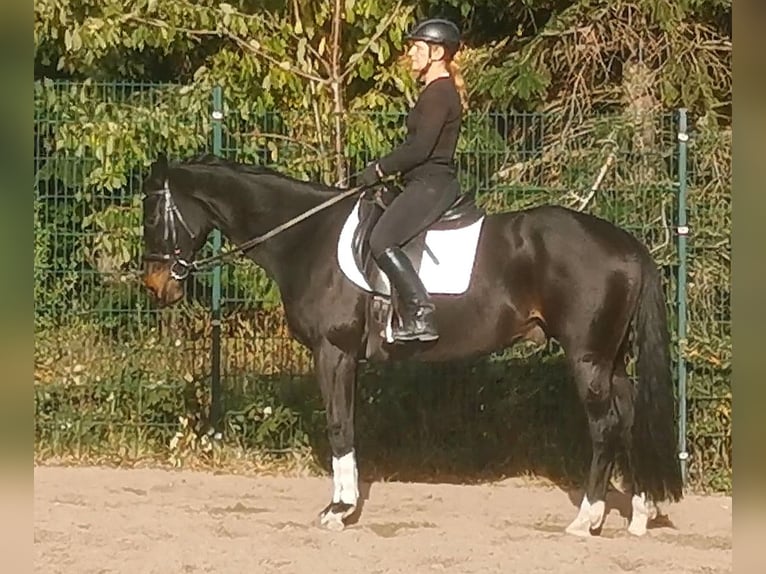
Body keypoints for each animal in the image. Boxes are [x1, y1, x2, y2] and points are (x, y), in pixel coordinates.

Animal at [139, 153, 683, 537]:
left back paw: (586, 520)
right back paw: (638, 512)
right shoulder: (346, 358)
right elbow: (348, 425)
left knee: (604, 426)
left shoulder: (333, 352)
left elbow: (339, 426)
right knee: (628, 416)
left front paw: (339, 510)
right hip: (610, 359)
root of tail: (627, 245)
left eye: (149, 213)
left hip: (586, 357)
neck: (306, 236)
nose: (156, 285)